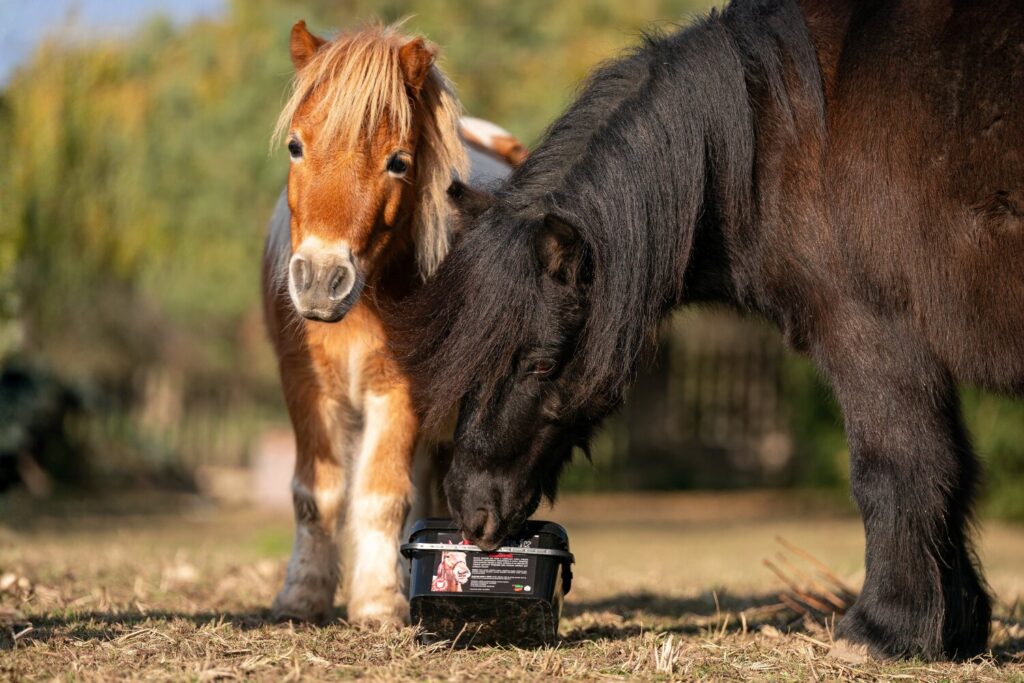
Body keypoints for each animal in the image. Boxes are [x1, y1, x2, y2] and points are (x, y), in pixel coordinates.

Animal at [263, 21, 522, 627]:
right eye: (295, 146)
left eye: (398, 162)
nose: (320, 280)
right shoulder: (306, 385)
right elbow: (317, 493)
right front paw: (301, 597)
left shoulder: (400, 390)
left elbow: (381, 497)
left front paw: (379, 602)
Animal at [394, 0, 1023, 660]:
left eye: (539, 362)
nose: (472, 511)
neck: (782, 133)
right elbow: (951, 474)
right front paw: (953, 627)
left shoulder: (872, 336)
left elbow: (900, 468)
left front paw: (883, 627)